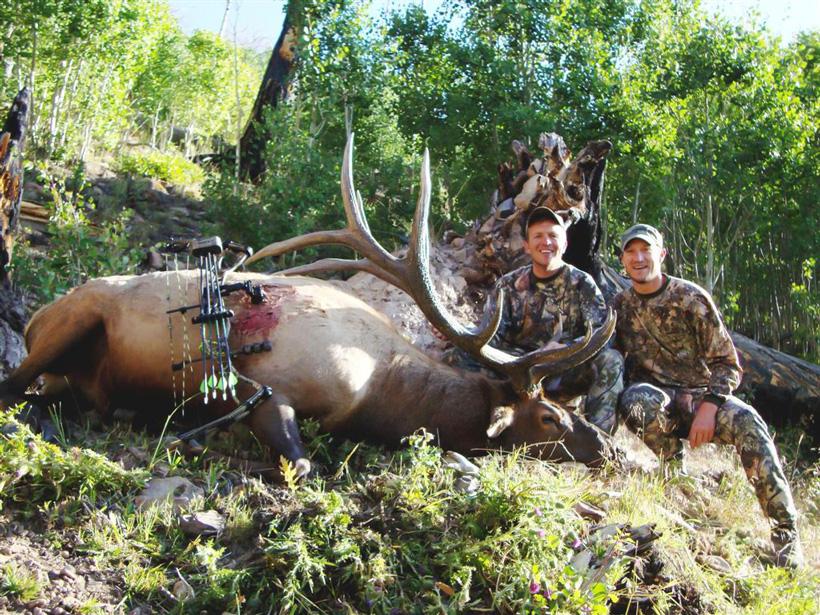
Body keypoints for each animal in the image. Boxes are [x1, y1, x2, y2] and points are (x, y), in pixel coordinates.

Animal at [0, 136, 617, 478]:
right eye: (550, 417)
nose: (606, 448)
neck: (381, 393)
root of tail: (37, 316)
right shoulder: (269, 384)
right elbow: (299, 461)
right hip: (73, 320)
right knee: (13, 383)